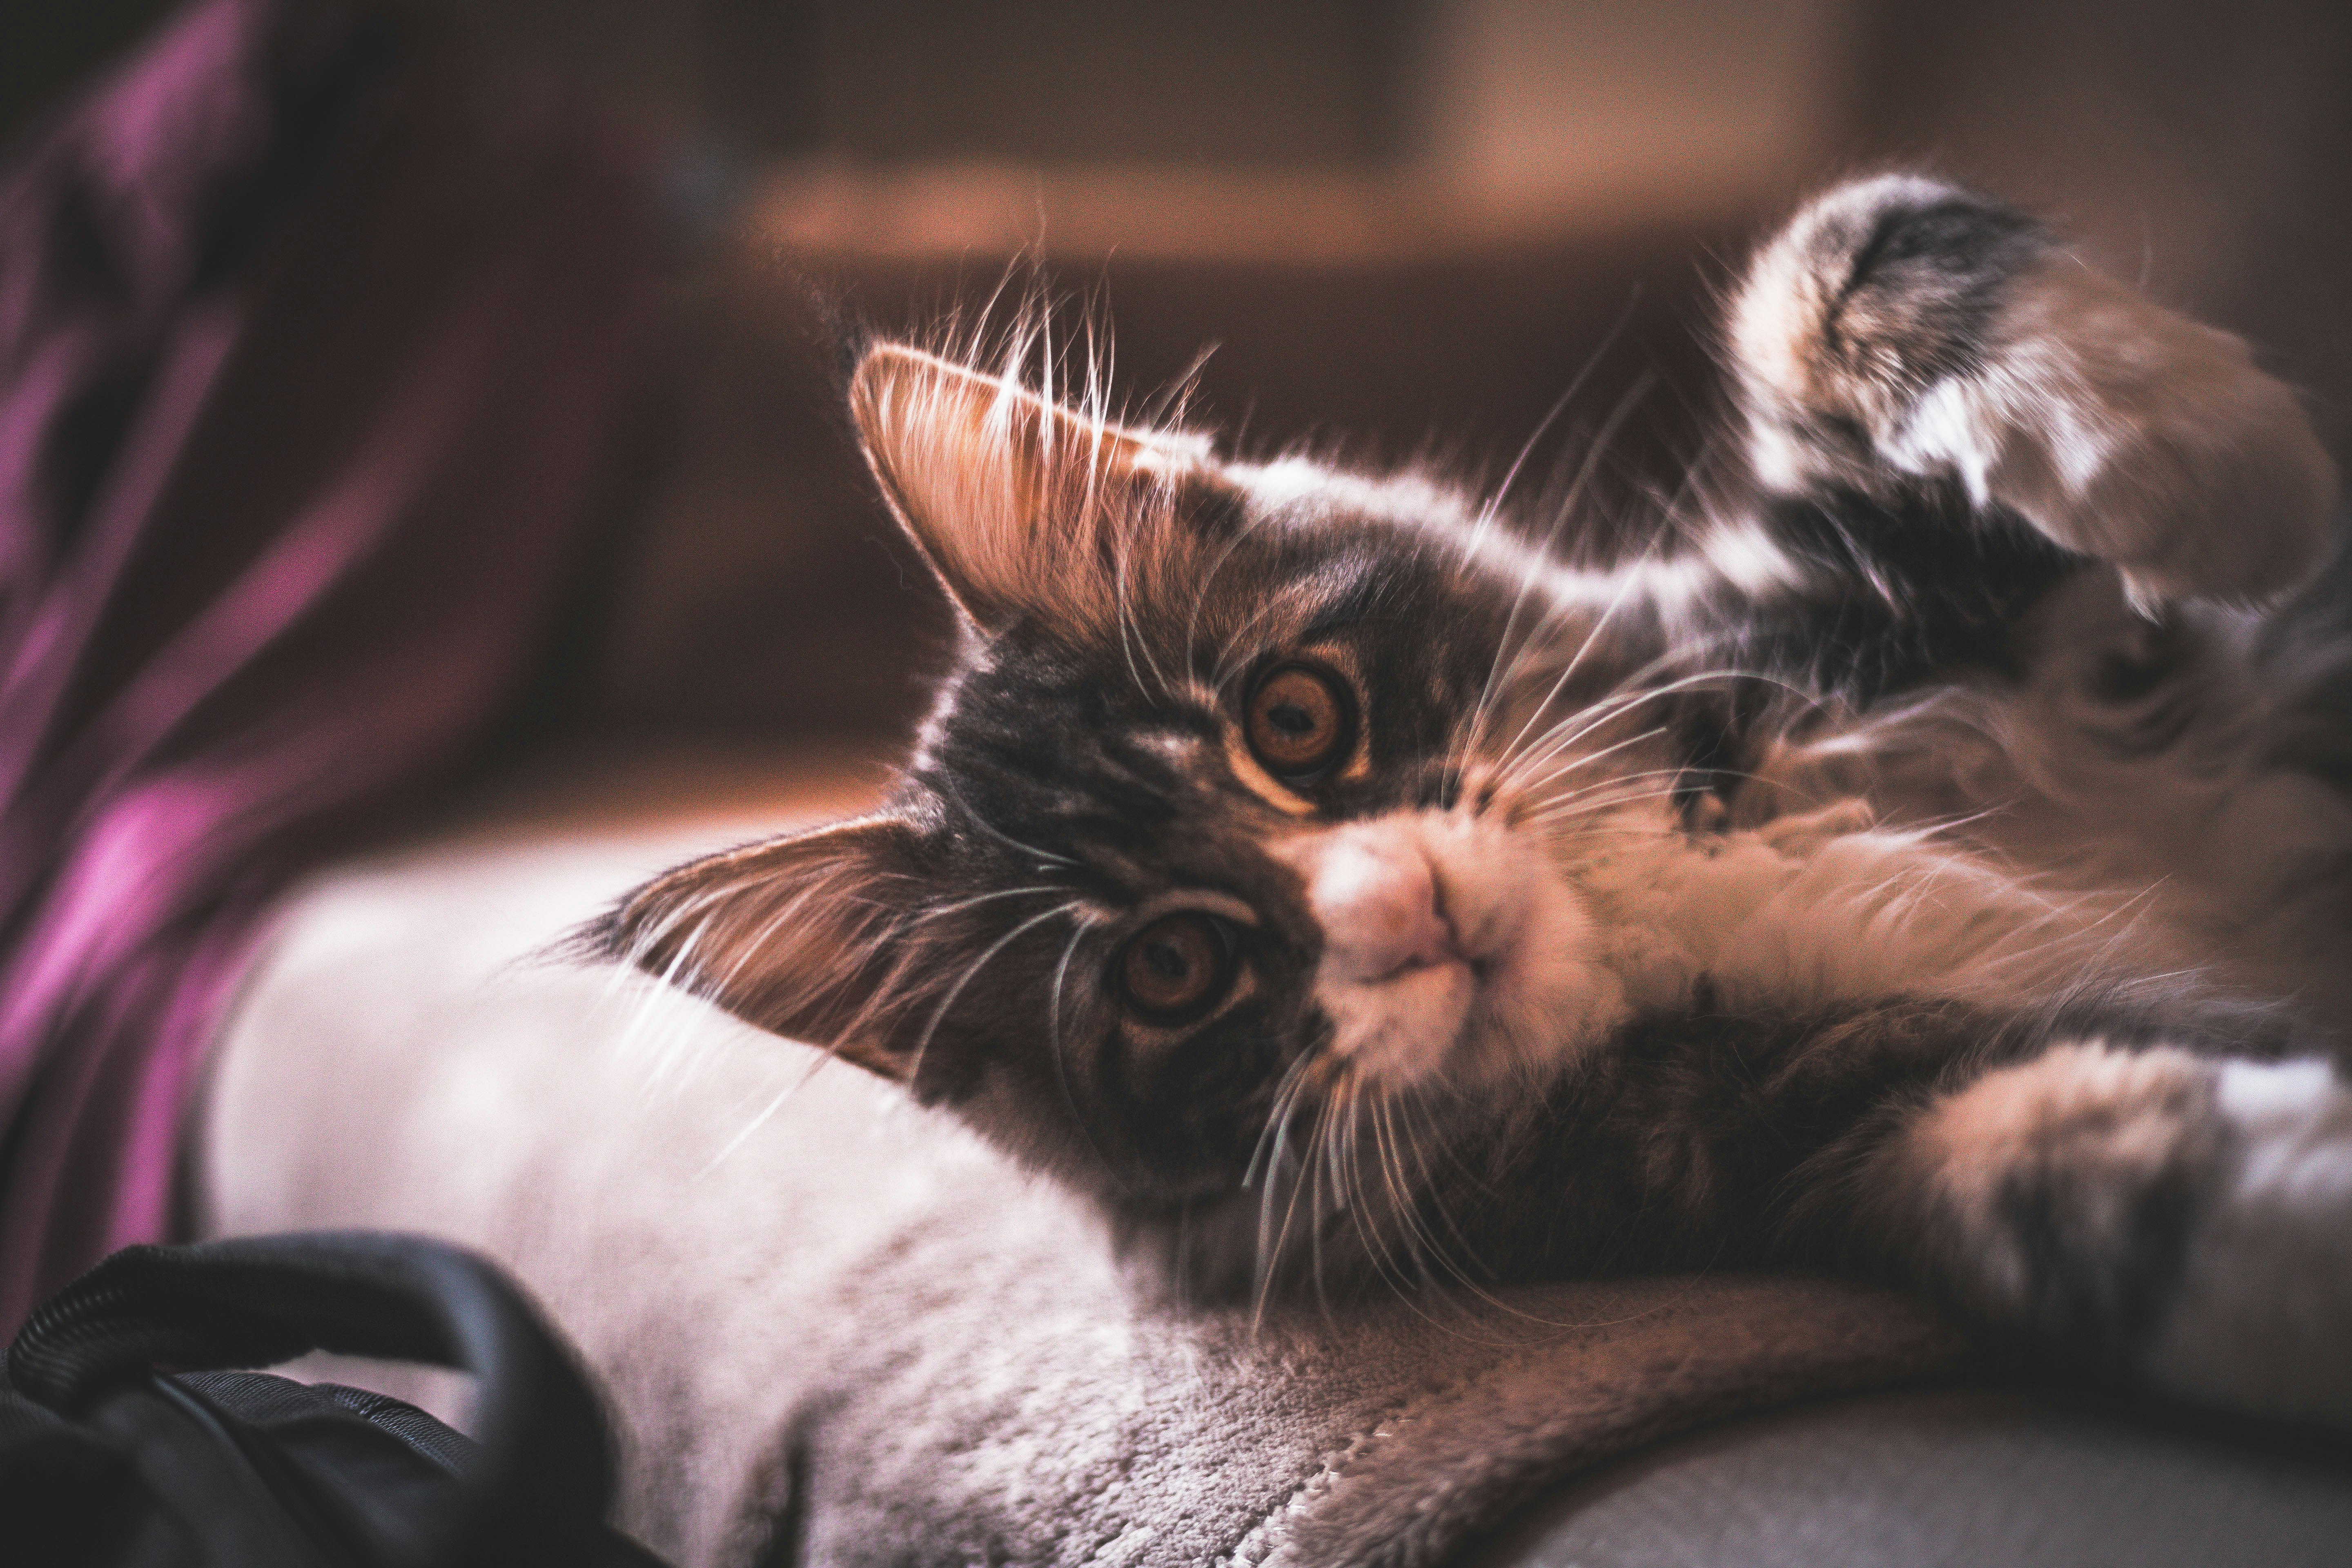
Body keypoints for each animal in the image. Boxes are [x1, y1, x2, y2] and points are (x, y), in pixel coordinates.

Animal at [578, 175, 2352, 1439]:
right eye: (1174, 971)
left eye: (1297, 720)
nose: (1403, 912)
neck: (1651, 902)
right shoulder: (1841, 1124)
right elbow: (2075, 1195)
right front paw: (2303, 1204)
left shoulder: (1858, 599)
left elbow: (1836, 255)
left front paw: (2207, 463)